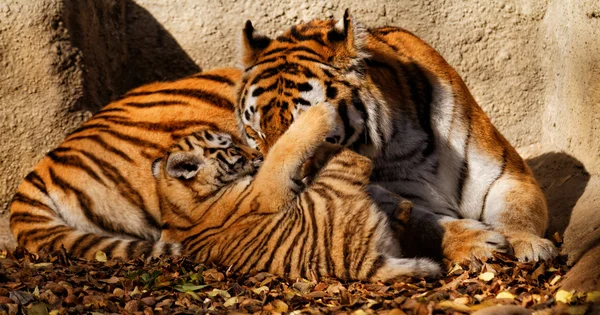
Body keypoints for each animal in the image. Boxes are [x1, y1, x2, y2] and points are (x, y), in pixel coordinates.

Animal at [152, 102, 438, 282]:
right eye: (232, 149)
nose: (256, 155)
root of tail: (365, 264)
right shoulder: (266, 188)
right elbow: (284, 149)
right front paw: (316, 115)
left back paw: (401, 207)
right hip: (337, 181)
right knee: (358, 159)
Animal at [236, 11, 556, 266]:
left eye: (310, 129)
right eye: (255, 134)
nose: (279, 192)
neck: (400, 141)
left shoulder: (506, 173)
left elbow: (517, 209)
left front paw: (526, 242)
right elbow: (423, 224)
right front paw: (476, 242)